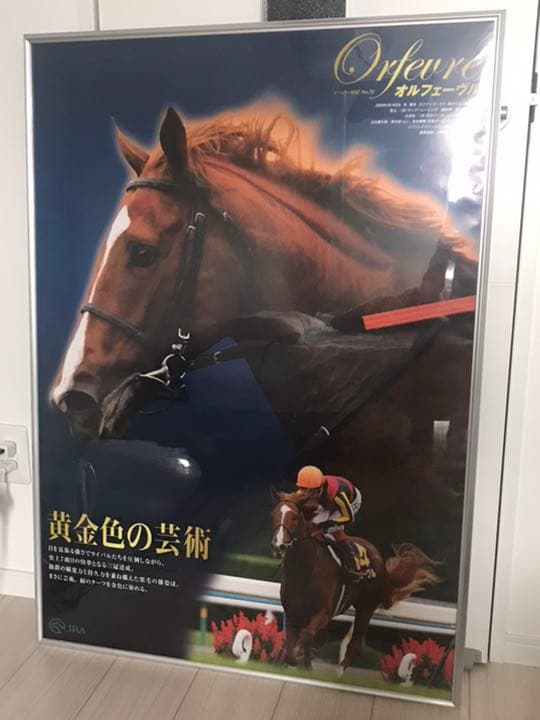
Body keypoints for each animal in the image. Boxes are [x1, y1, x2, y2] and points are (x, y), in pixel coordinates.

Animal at [271, 491, 438, 671]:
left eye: (294, 517)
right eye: (274, 514)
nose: (279, 545)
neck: (305, 569)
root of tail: (380, 562)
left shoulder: (325, 612)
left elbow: (306, 636)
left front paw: (304, 663)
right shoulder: (293, 612)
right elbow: (290, 645)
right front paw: (296, 660)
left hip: (366, 608)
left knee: (354, 646)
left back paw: (338, 672)